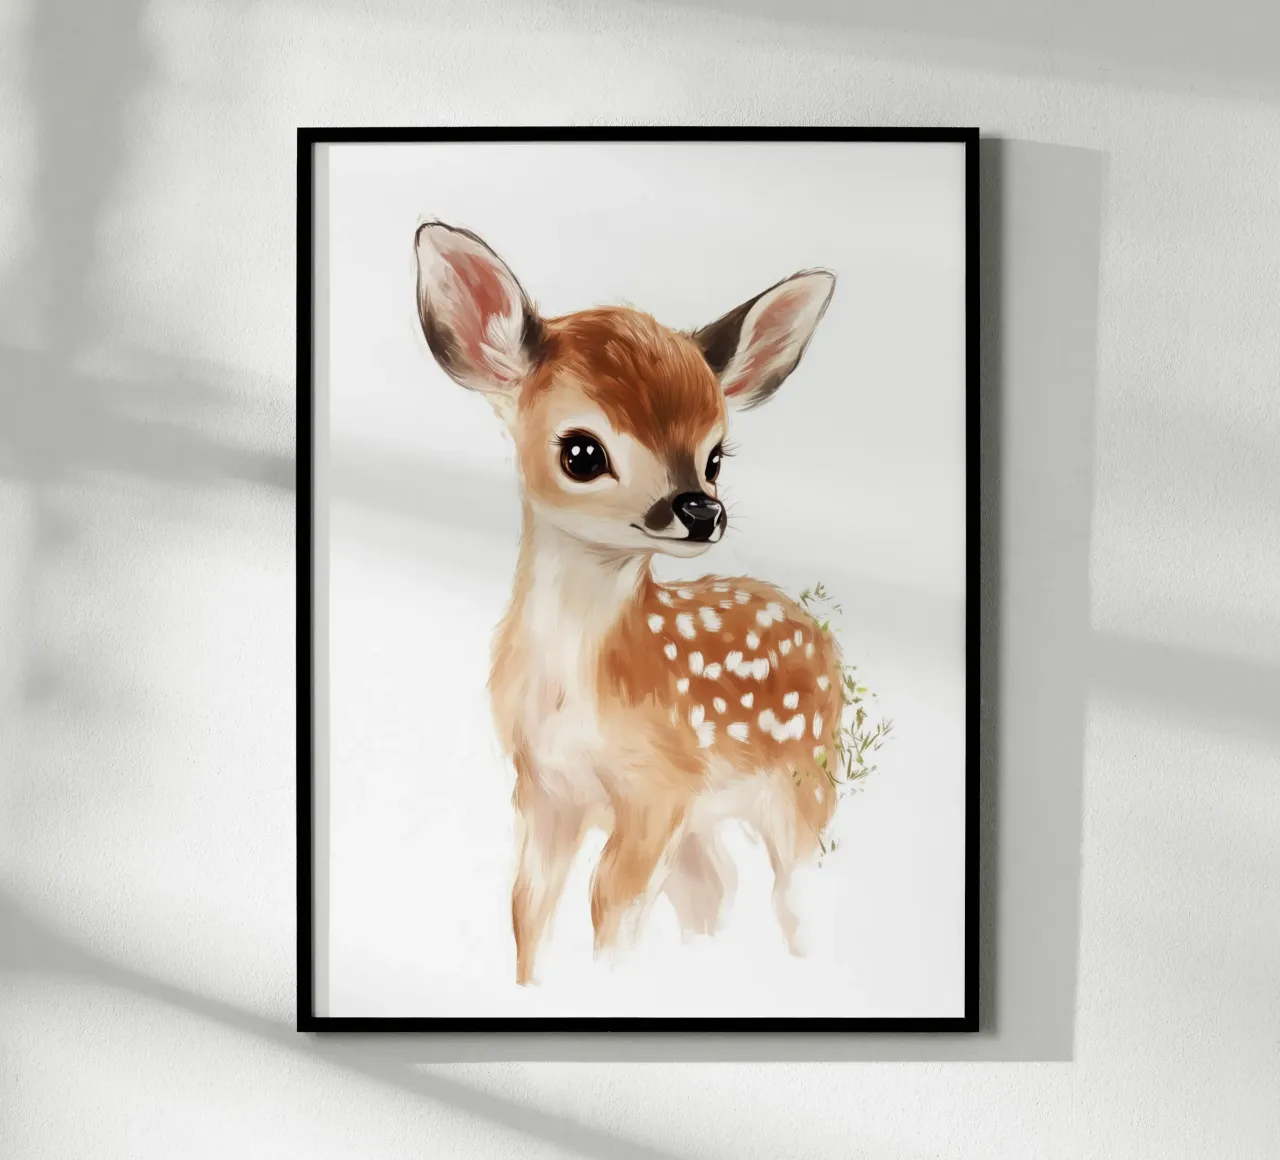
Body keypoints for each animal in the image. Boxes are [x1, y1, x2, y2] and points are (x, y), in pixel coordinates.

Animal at [414, 220, 845, 985]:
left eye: (715, 457)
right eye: (582, 452)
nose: (701, 510)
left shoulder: (659, 788)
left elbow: (608, 908)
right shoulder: (544, 788)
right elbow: (527, 909)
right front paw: (532, 987)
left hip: (805, 782)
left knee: (794, 895)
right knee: (716, 887)